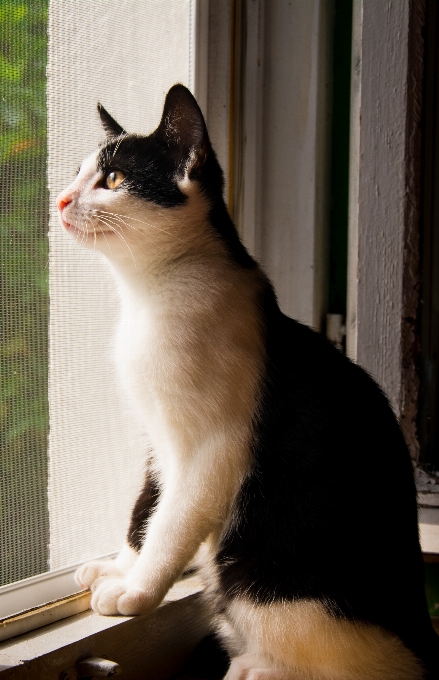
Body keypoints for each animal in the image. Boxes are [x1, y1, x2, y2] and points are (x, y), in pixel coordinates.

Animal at [57, 82, 439, 676]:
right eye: (78, 173)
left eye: (114, 179)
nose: (61, 200)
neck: (150, 298)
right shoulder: (158, 440)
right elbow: (147, 506)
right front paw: (120, 566)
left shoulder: (214, 447)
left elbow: (172, 522)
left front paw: (136, 591)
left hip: (268, 582)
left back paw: (262, 665)